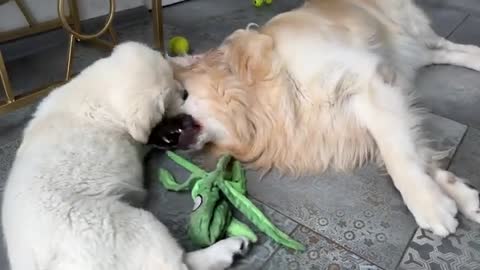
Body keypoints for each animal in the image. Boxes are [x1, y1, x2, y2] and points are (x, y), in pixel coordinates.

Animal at [3, 42, 249, 270]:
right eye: (168, 97)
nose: (185, 93)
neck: (99, 97)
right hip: (136, 226)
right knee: (177, 264)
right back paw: (226, 249)